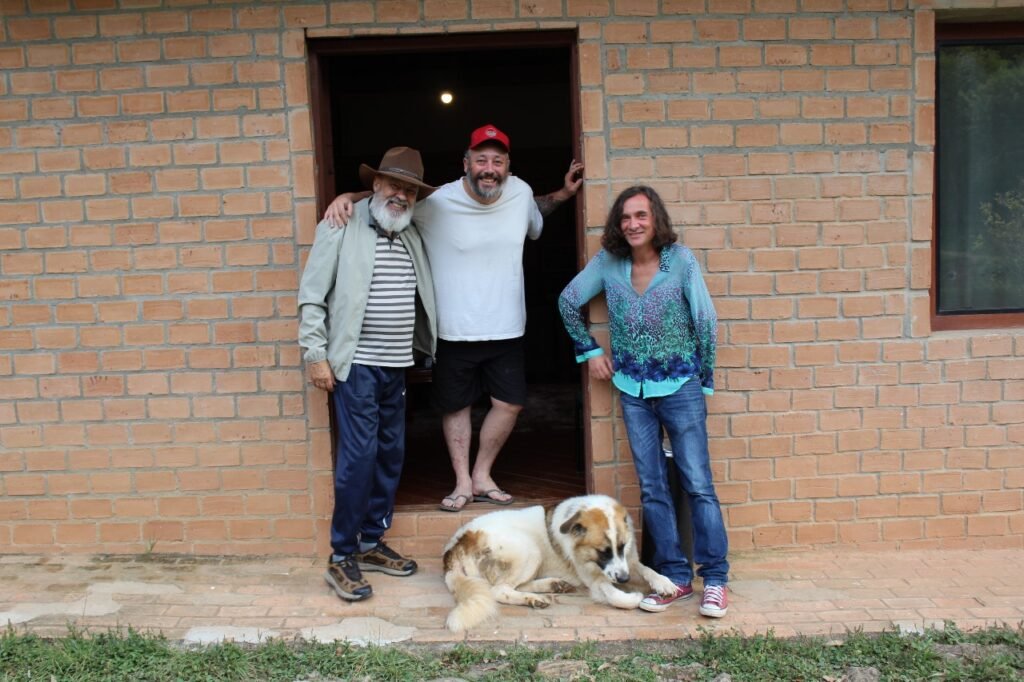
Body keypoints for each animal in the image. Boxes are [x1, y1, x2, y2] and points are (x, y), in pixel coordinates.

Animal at [442, 491, 675, 630]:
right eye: (603, 551)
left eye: (621, 546)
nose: (624, 580)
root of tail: (454, 547)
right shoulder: (595, 579)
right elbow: (615, 596)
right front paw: (633, 597)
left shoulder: (629, 561)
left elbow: (647, 569)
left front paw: (665, 583)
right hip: (529, 549)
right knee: (499, 590)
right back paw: (533, 598)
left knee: (514, 585)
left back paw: (551, 586)